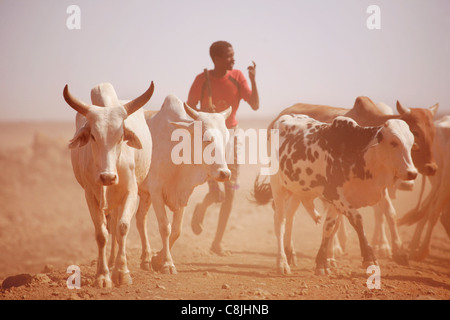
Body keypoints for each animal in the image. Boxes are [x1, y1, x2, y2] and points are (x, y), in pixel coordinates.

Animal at [63, 82, 155, 288]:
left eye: (121, 136)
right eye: (93, 136)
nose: (107, 178)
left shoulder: (130, 192)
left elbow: (123, 227)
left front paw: (122, 273)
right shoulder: (90, 195)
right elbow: (101, 234)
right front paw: (103, 275)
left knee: (125, 222)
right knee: (109, 225)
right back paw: (109, 262)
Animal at [144, 94, 232, 272]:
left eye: (226, 139)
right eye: (206, 138)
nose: (224, 173)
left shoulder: (183, 195)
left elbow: (176, 230)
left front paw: (157, 259)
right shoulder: (156, 191)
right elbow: (165, 227)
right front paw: (167, 264)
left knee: (139, 219)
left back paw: (145, 259)